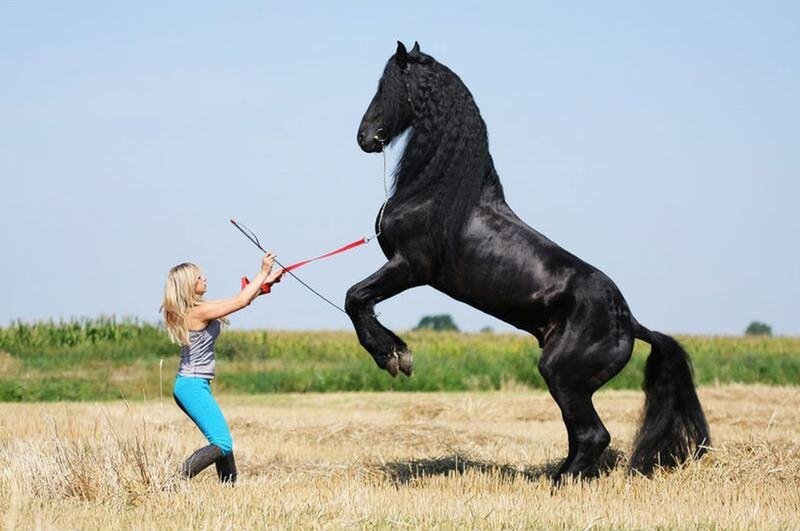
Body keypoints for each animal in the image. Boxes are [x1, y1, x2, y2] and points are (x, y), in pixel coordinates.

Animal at [346, 41, 710, 478]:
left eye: (389, 87)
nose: (364, 136)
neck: (438, 193)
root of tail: (632, 324)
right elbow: (359, 299)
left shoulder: (410, 267)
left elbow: (355, 297)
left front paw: (394, 356)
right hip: (568, 382)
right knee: (580, 437)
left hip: (560, 374)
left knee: (592, 436)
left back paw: (559, 483)